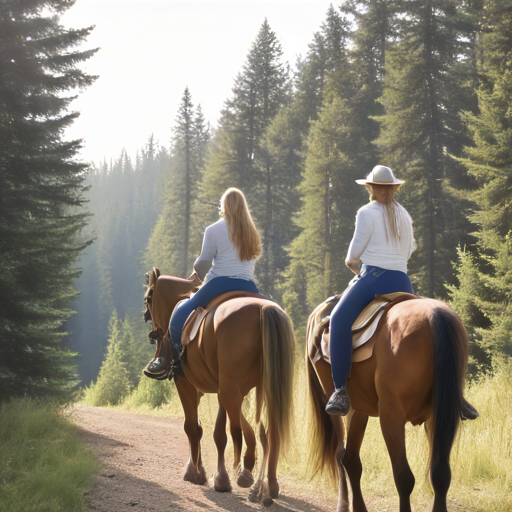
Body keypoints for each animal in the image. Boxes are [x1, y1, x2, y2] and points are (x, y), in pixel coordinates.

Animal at [144, 270, 296, 502]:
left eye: (148, 298)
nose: (153, 332)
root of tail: (263, 309)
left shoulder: (186, 383)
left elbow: (193, 426)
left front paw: (196, 472)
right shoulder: (220, 387)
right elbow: (218, 433)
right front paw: (220, 477)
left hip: (231, 389)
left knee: (246, 428)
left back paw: (248, 473)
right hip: (263, 389)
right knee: (270, 432)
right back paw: (268, 484)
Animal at [306, 294, 478, 512]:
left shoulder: (437, 417)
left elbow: (440, 475)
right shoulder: (391, 417)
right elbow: (404, 478)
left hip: (358, 411)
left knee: (350, 460)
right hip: (344, 408)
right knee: (344, 456)